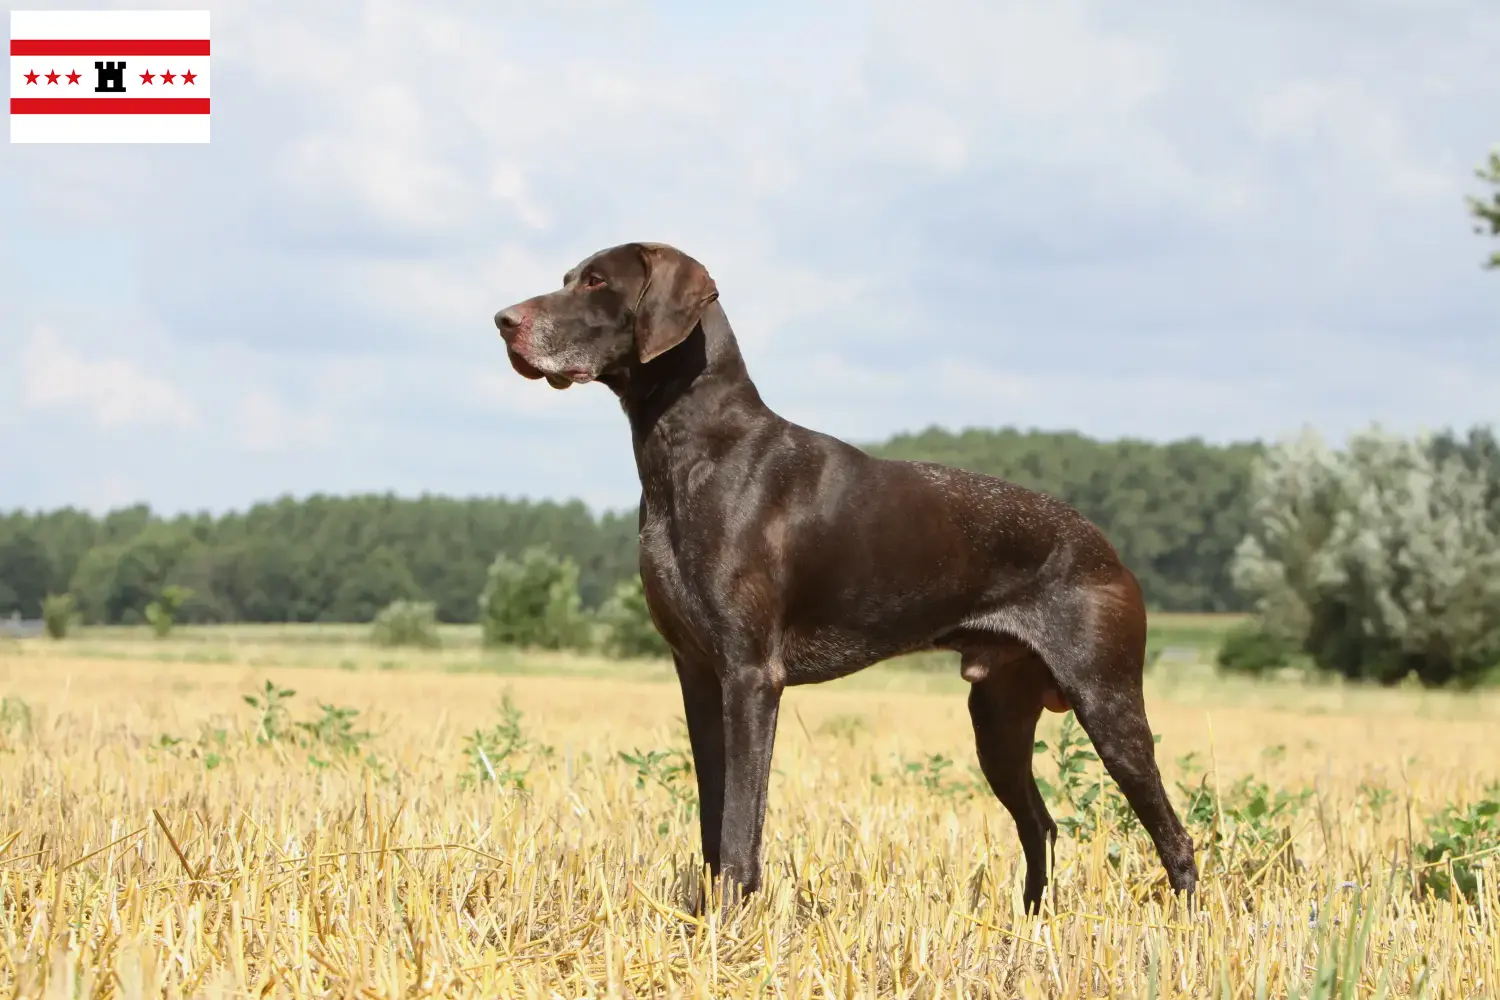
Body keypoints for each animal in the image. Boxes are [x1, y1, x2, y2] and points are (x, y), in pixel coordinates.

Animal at [498, 244, 1200, 917]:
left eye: (597, 282)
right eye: (568, 276)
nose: (503, 320)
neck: (689, 453)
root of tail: (1107, 548)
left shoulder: (751, 676)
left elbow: (740, 824)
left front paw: (729, 922)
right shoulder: (697, 673)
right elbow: (712, 817)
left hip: (1107, 702)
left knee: (1174, 835)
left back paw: (1186, 928)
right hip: (998, 717)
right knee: (1042, 826)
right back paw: (1029, 926)